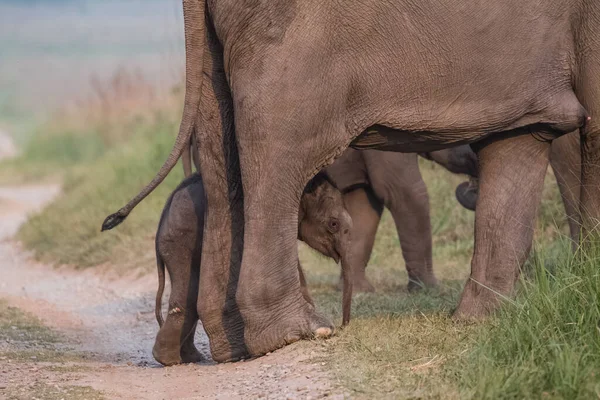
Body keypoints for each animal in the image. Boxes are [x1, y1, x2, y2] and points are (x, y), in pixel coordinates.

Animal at [152, 172, 354, 366]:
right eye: (333, 224)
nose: (342, 327)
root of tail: (162, 220)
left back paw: (183, 358)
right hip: (181, 241)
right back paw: (177, 359)